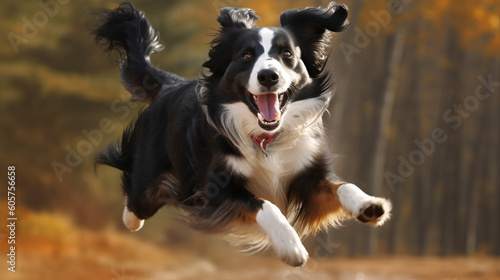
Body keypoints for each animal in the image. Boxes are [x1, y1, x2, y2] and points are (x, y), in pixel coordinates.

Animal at [94, 1, 390, 266]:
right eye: (246, 56)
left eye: (287, 54)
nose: (268, 76)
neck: (266, 139)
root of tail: (169, 84)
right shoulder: (216, 192)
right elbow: (265, 205)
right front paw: (290, 245)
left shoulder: (307, 179)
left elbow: (342, 185)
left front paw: (369, 205)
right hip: (148, 178)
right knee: (136, 202)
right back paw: (131, 220)